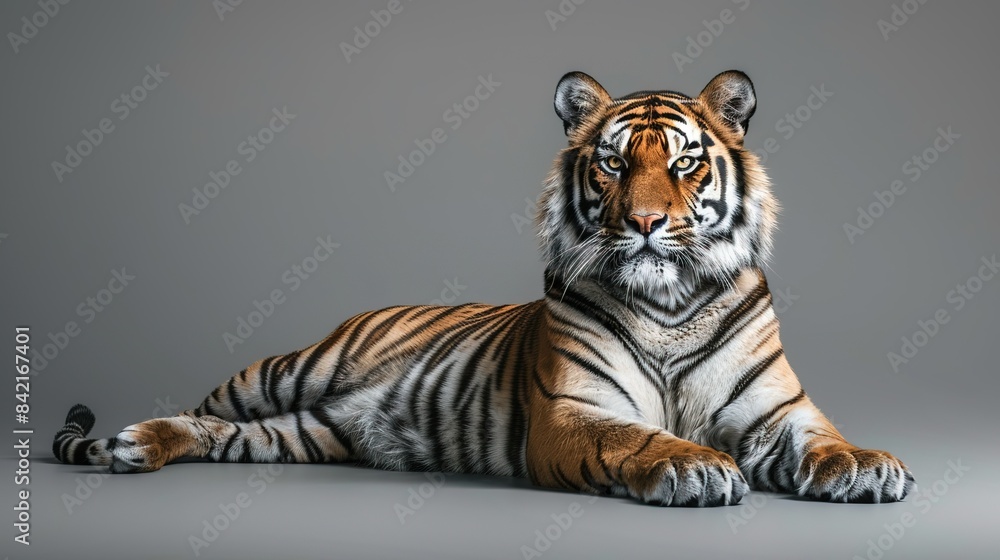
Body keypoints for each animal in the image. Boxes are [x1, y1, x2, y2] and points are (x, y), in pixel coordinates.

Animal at [54, 70, 915, 506]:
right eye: (613, 163)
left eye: (683, 163)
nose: (643, 222)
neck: (667, 306)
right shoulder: (573, 415)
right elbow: (639, 437)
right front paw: (696, 467)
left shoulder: (777, 411)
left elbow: (826, 439)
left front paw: (869, 465)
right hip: (284, 373)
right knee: (198, 410)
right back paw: (127, 441)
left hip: (298, 433)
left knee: (223, 435)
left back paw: (142, 448)